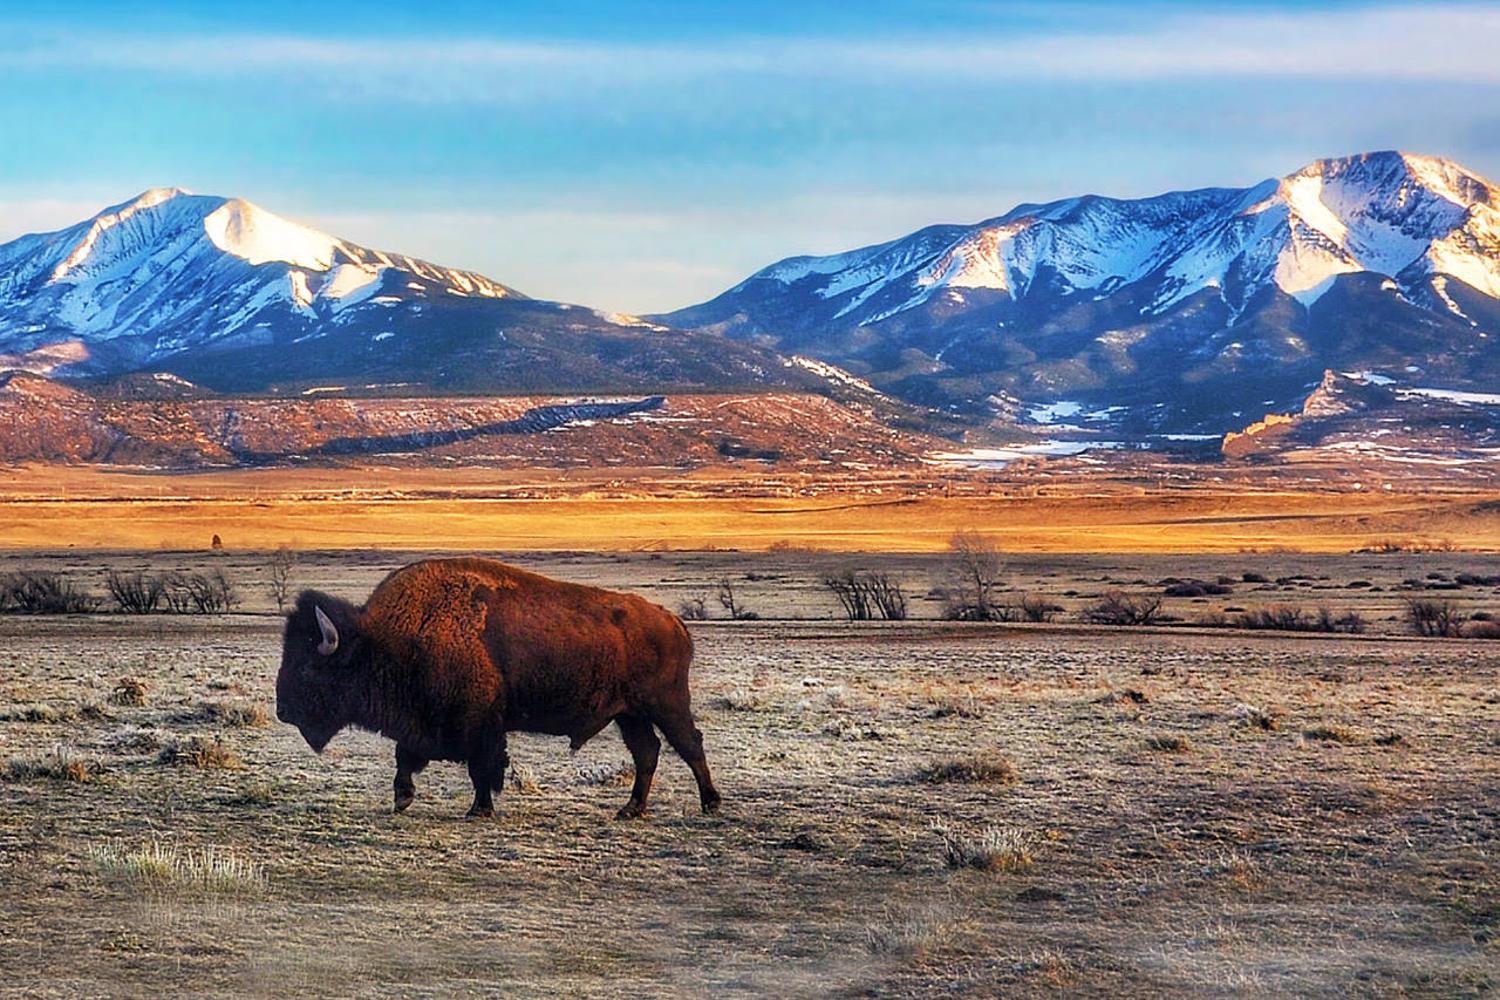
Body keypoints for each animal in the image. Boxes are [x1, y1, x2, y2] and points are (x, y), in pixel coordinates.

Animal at [275, 557, 721, 819]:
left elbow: (482, 767)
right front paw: (402, 799)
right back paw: (630, 809)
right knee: (648, 751)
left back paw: (710, 804)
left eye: (308, 667)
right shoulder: (424, 726)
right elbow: (407, 758)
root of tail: (672, 621)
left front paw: (479, 810)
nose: (283, 710)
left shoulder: (480, 725)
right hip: (628, 714)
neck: (387, 639)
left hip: (665, 704)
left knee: (689, 744)